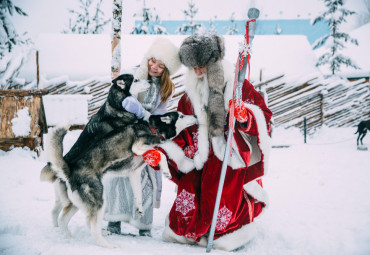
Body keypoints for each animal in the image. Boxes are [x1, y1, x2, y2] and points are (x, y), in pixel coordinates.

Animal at [42, 111, 198, 247]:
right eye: (181, 115)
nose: (196, 115)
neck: (154, 128)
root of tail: (70, 171)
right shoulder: (137, 147)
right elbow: (161, 154)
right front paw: (166, 171)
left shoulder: (134, 172)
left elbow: (138, 192)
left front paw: (139, 208)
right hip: (98, 201)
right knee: (91, 226)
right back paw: (107, 245)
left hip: (76, 204)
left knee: (64, 219)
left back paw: (70, 238)